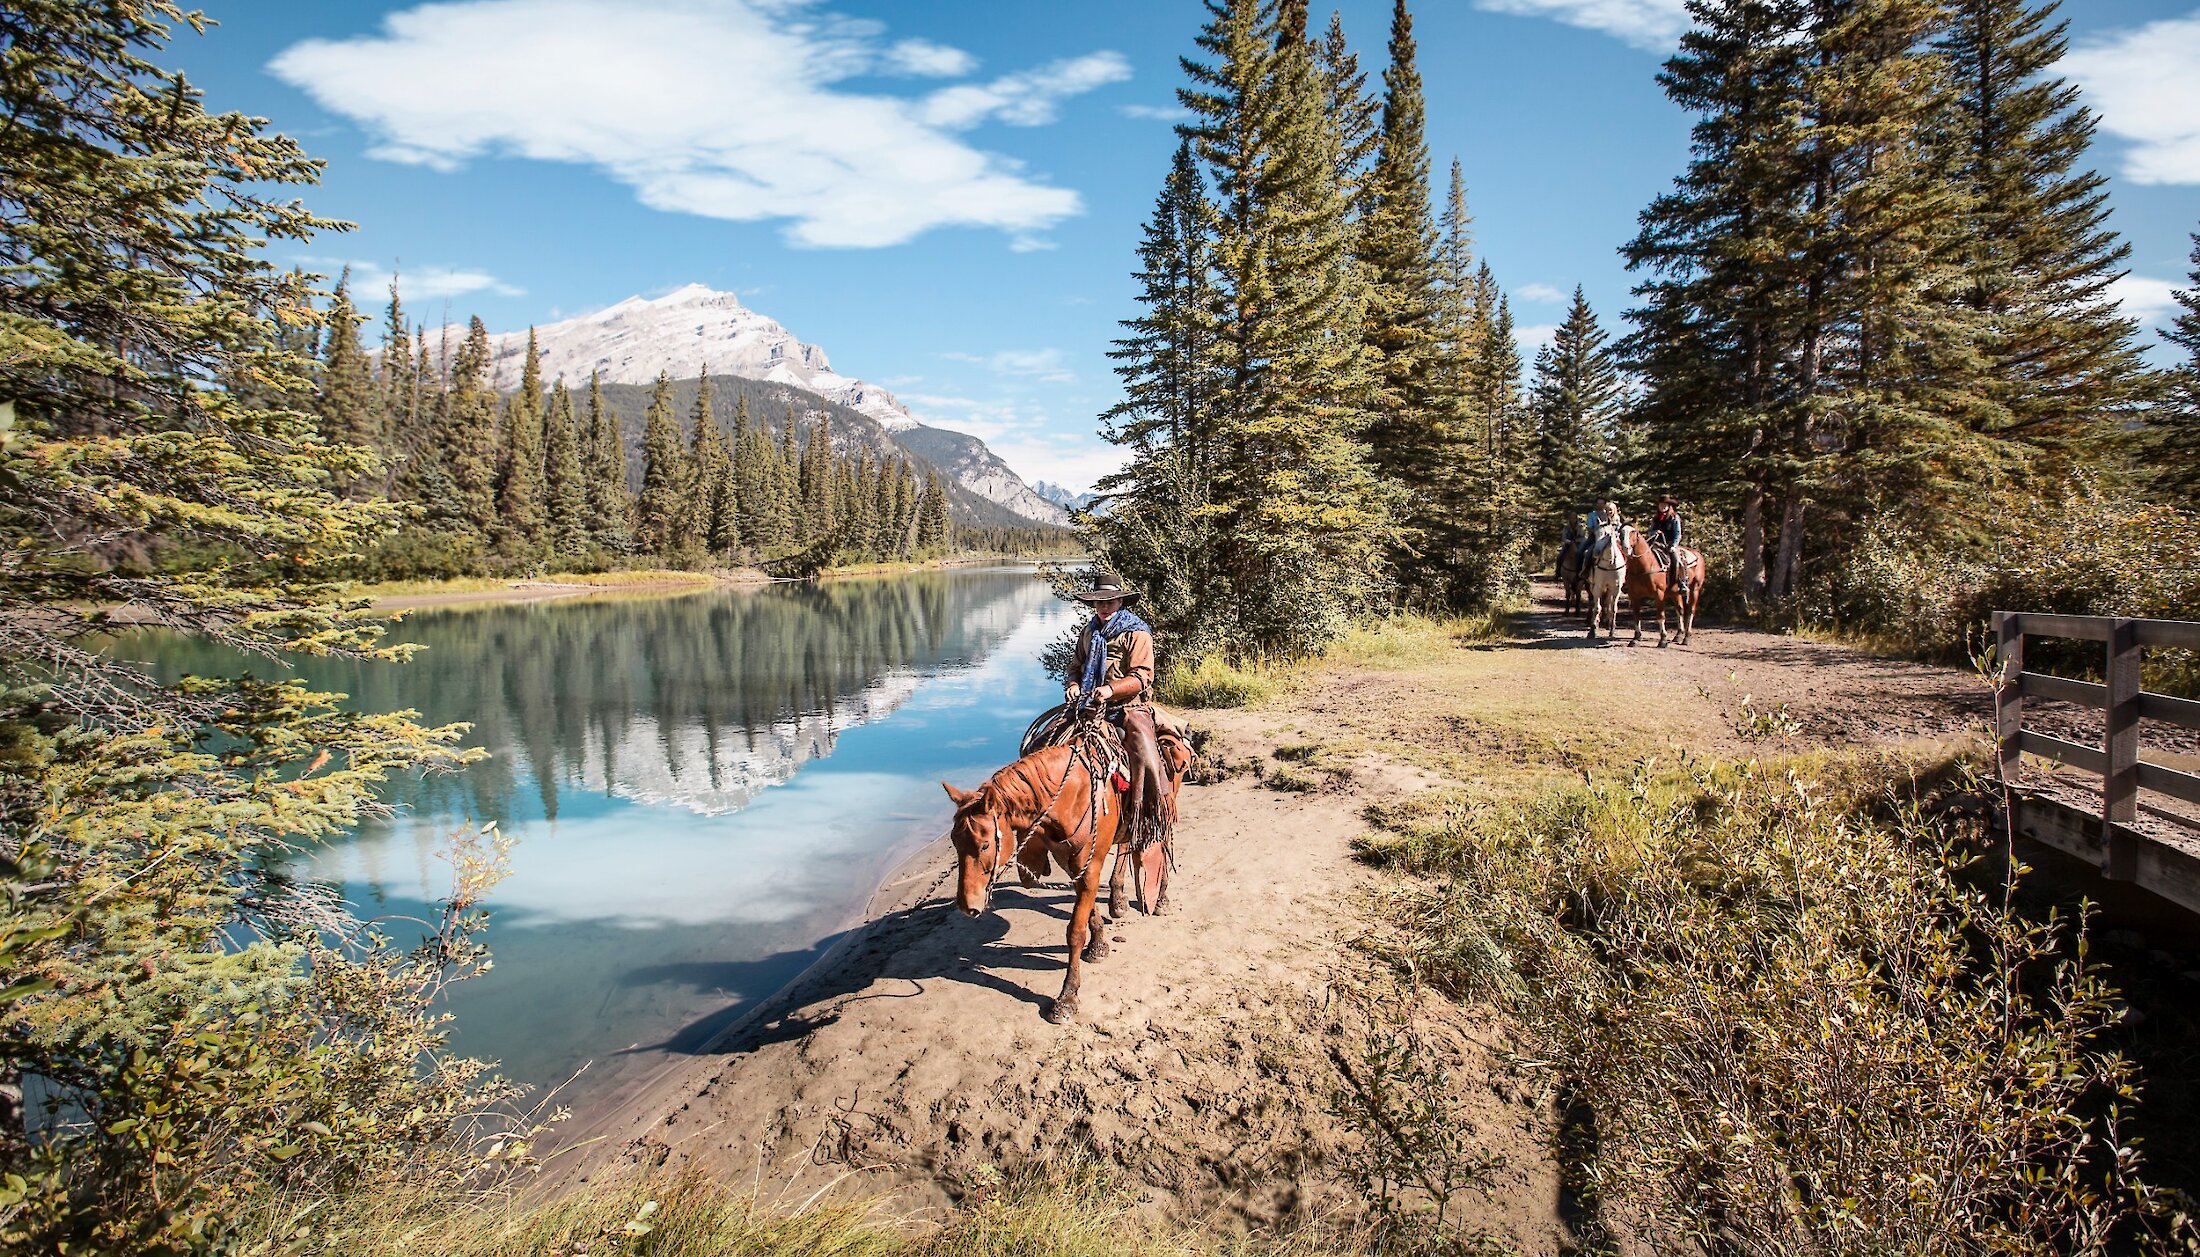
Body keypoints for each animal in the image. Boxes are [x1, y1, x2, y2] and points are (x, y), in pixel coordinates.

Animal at [941, 722, 1188, 1025]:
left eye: (985, 844)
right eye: (954, 841)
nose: (967, 906)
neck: (1072, 795)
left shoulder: (1090, 866)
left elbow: (1075, 931)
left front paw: (1067, 998)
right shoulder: (1073, 865)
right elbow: (1089, 914)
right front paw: (1098, 946)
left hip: (1165, 807)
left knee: (1162, 845)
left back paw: (1160, 898)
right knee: (1125, 845)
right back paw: (1118, 899)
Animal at [1619, 526, 1698, 656]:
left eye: (1633, 533)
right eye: (1621, 533)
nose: (1626, 548)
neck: (1645, 566)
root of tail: (1698, 555)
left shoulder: (1659, 594)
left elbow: (1660, 616)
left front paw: (1663, 640)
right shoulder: (1634, 595)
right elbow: (1636, 616)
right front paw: (1636, 639)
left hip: (1695, 589)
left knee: (1690, 611)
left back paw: (1686, 637)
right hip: (1675, 593)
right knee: (1680, 610)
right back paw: (1678, 635)